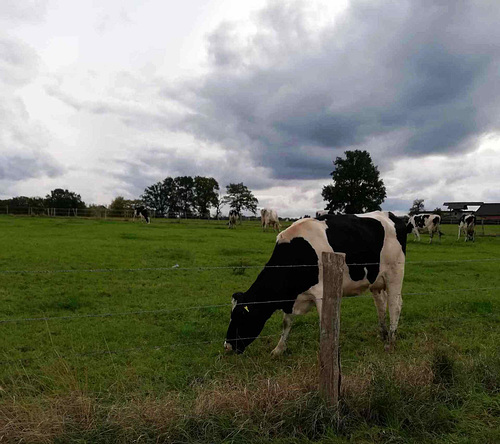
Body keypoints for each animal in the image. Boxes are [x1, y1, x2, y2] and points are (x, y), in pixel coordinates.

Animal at [223, 211, 406, 354]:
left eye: (240, 316)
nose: (227, 346)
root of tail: (390, 215)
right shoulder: (293, 295)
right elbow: (286, 322)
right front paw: (278, 349)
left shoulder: (321, 293)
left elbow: (324, 325)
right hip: (376, 281)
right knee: (381, 304)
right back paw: (382, 334)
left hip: (395, 274)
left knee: (395, 305)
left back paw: (391, 341)